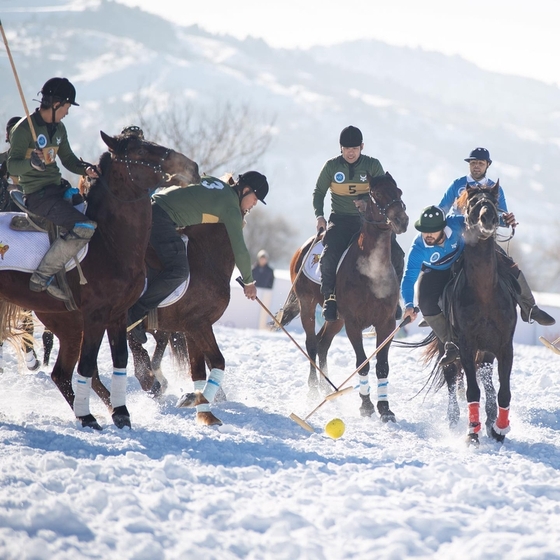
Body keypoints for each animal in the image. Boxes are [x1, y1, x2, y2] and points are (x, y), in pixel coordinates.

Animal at [0, 131, 199, 428]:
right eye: (141, 151)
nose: (192, 167)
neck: (109, 241)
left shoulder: (117, 315)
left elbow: (120, 359)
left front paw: (122, 413)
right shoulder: (95, 315)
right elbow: (87, 363)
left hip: (67, 324)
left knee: (61, 374)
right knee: (71, 371)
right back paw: (86, 415)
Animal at [278, 173, 406, 422]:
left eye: (399, 192)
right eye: (377, 194)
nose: (401, 220)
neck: (372, 272)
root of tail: (302, 248)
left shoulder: (386, 324)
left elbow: (382, 366)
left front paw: (385, 409)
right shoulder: (354, 324)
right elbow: (362, 363)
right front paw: (366, 406)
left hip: (336, 319)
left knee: (323, 343)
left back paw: (328, 389)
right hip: (308, 304)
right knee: (311, 344)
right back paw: (313, 390)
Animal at [426, 184, 520, 446]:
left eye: (494, 202)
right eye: (472, 204)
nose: (488, 218)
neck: (485, 293)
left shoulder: (504, 346)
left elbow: (503, 392)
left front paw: (499, 429)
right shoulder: (466, 346)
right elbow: (471, 391)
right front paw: (472, 433)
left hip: (487, 351)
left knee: (486, 378)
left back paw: (490, 420)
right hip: (448, 346)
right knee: (451, 377)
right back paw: (454, 419)